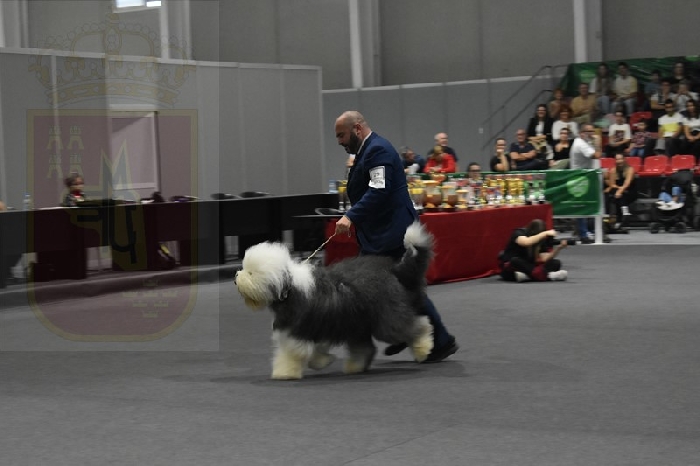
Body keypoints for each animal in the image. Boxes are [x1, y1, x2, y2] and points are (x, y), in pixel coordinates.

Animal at [235, 222, 434, 380]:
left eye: (251, 273)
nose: (236, 277)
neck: (288, 288)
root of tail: (395, 270)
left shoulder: (296, 330)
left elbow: (292, 353)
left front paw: (284, 373)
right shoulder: (321, 326)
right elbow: (316, 349)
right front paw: (323, 361)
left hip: (387, 318)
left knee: (418, 326)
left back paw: (424, 348)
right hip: (357, 323)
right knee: (365, 348)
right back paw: (355, 367)